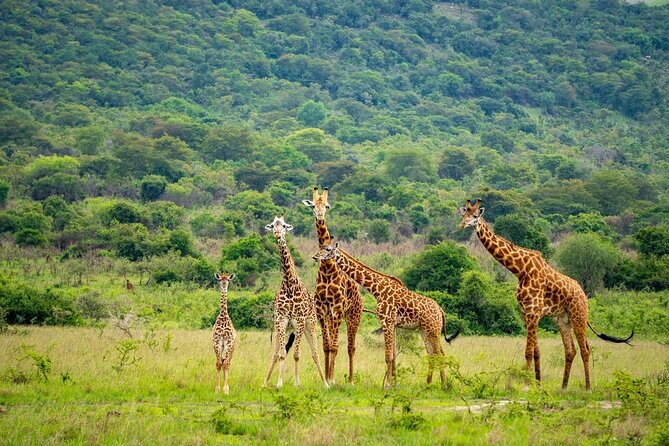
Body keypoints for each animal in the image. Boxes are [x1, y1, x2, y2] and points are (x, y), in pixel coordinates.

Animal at [263, 214, 329, 389]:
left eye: (284, 226)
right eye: (273, 225)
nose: (277, 234)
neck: (289, 284)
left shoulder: (299, 321)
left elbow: (297, 354)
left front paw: (296, 383)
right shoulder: (282, 321)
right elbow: (280, 354)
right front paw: (278, 383)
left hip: (309, 325)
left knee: (315, 353)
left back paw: (326, 383)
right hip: (286, 329)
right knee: (275, 353)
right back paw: (265, 382)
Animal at [302, 187, 363, 385]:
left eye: (327, 206)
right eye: (313, 206)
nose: (320, 216)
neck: (327, 268)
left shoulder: (337, 308)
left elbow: (335, 345)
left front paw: (332, 379)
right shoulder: (322, 309)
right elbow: (326, 345)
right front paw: (327, 379)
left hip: (353, 315)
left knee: (351, 346)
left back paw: (350, 380)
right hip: (331, 316)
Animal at [313, 240, 460, 390]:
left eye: (328, 249)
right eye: (321, 247)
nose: (315, 256)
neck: (376, 289)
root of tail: (440, 311)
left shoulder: (386, 321)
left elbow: (388, 356)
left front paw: (387, 386)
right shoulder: (393, 324)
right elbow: (393, 356)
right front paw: (393, 384)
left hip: (433, 330)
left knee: (440, 354)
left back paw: (444, 385)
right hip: (425, 330)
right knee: (432, 354)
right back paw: (428, 384)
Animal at [458, 199, 633, 390]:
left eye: (475, 216)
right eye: (464, 214)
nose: (462, 225)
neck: (520, 270)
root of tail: (584, 295)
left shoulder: (533, 311)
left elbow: (528, 351)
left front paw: (526, 385)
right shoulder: (526, 313)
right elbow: (536, 351)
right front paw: (538, 384)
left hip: (578, 316)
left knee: (585, 350)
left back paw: (587, 387)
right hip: (563, 320)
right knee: (570, 350)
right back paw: (563, 387)